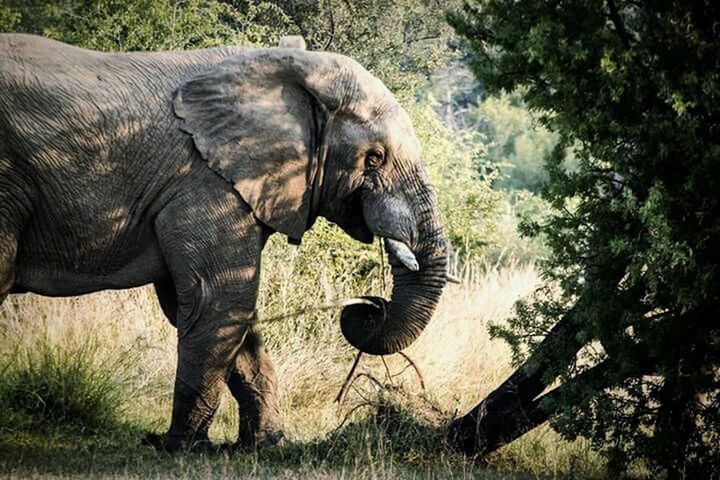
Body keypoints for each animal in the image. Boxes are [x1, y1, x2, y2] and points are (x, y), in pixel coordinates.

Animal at [0, 33, 448, 450]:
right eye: (374, 158)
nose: (369, 305)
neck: (281, 67)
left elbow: (230, 310)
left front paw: (262, 445)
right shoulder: (206, 182)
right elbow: (219, 299)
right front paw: (181, 447)